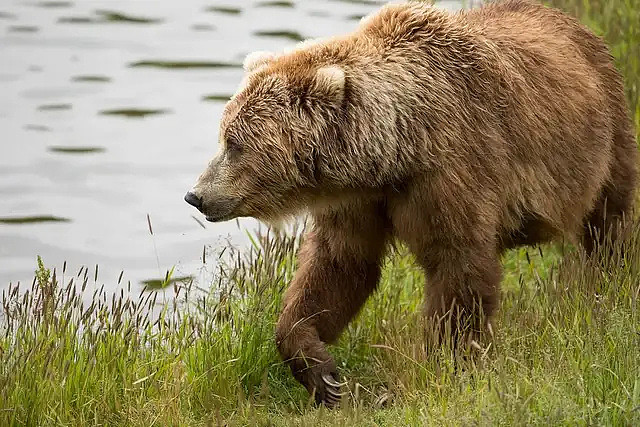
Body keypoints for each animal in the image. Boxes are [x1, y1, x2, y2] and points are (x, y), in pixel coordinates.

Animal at [185, 0, 637, 407]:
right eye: (224, 134)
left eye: (235, 144)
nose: (196, 195)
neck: (396, 148)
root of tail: (579, 26)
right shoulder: (359, 199)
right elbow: (339, 264)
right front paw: (321, 372)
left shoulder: (451, 171)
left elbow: (458, 266)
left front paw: (445, 366)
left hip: (603, 134)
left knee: (609, 222)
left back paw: (608, 285)